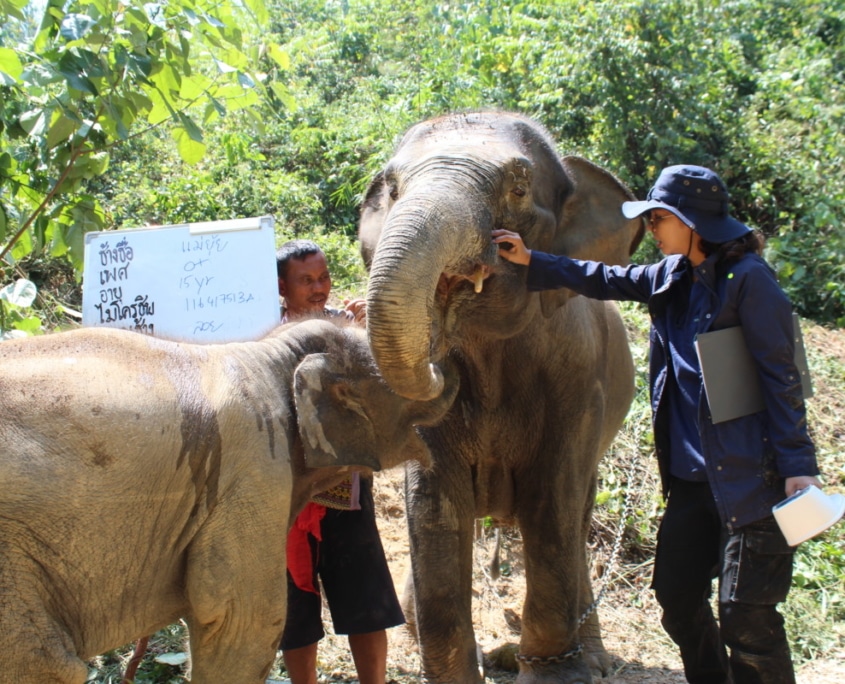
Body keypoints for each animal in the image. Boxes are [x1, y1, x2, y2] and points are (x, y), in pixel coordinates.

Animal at [359, 111, 644, 684]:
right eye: (393, 189)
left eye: (518, 187)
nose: (439, 364)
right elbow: (434, 507)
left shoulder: (579, 384)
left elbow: (553, 504)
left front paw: (555, 674)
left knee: (578, 516)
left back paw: (593, 659)